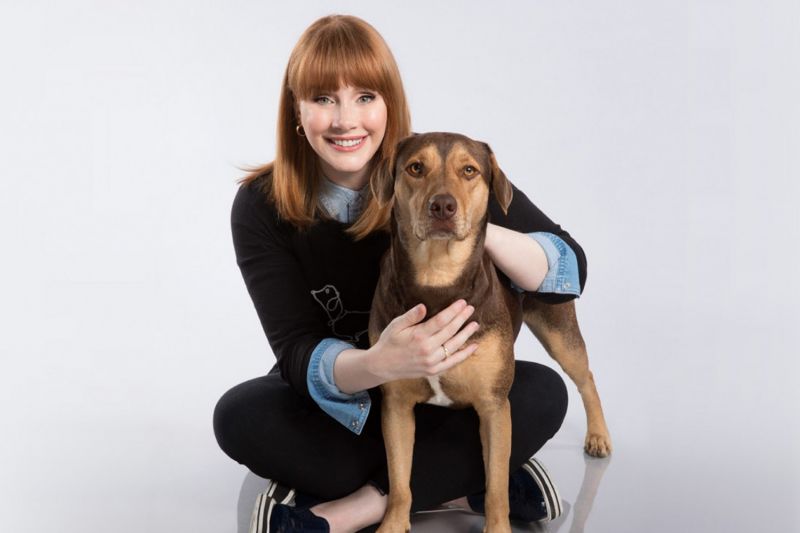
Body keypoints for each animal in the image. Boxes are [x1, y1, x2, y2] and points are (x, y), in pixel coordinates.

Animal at [370, 132, 612, 532]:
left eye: (469, 170)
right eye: (415, 168)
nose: (442, 206)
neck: (438, 278)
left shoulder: (494, 406)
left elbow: (496, 484)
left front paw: (497, 524)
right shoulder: (397, 404)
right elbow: (400, 482)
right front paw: (392, 524)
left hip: (558, 329)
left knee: (586, 377)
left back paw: (598, 436)